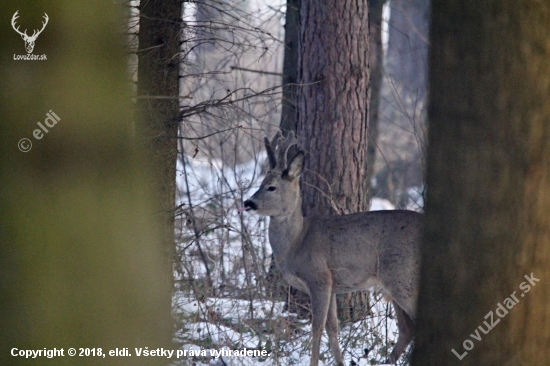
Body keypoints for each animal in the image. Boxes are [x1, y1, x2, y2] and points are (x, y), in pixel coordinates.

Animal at [243, 132, 422, 366]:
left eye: (271, 187)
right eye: (260, 183)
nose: (248, 202)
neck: (297, 242)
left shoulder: (319, 277)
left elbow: (317, 327)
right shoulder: (333, 285)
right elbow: (333, 326)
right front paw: (340, 362)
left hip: (402, 276)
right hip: (395, 282)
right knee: (407, 328)